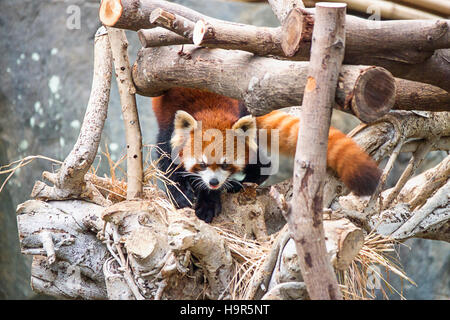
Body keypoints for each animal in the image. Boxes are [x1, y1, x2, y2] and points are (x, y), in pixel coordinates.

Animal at [153, 87, 382, 222]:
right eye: (201, 164)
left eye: (226, 165)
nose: (214, 182)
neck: (210, 110)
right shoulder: (167, 131)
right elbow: (167, 167)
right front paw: (182, 195)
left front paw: (209, 201)